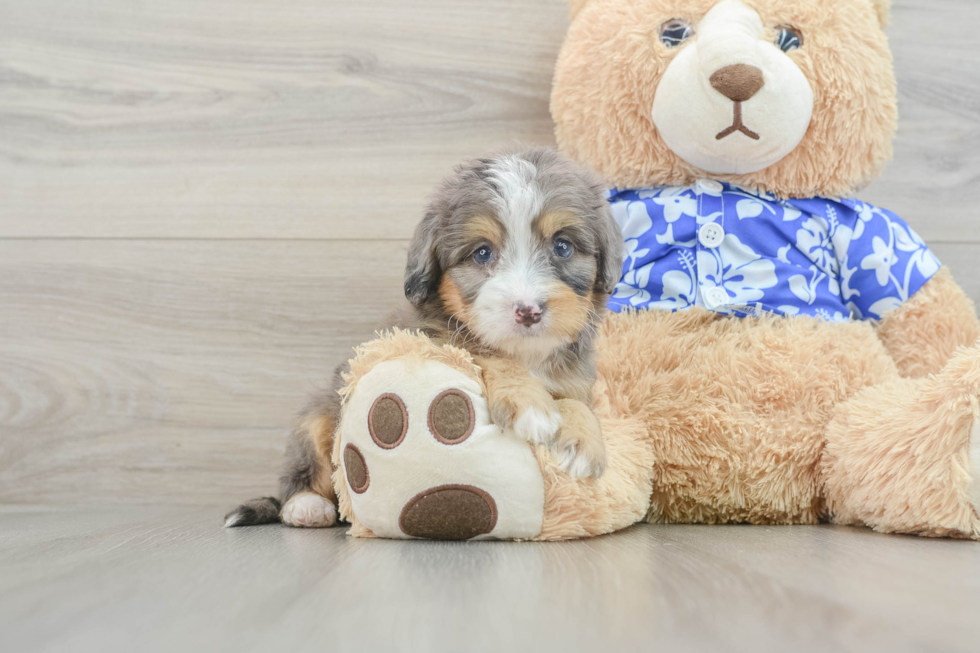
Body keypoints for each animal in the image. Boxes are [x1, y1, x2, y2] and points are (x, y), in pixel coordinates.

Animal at [226, 145, 624, 528]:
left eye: (562, 246)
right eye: (482, 253)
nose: (529, 311)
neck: (528, 354)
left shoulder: (576, 379)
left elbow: (576, 403)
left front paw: (583, 441)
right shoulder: (437, 340)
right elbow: (486, 353)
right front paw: (528, 402)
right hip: (319, 414)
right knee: (306, 468)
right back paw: (306, 505)